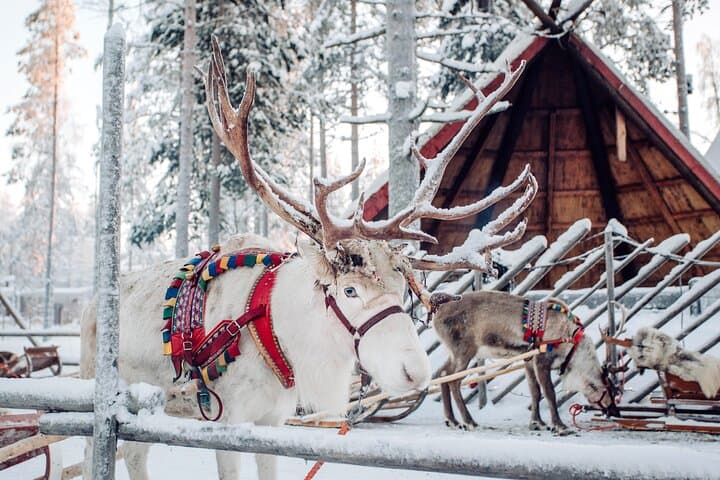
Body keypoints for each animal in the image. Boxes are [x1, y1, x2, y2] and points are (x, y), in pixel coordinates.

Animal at [81, 36, 537, 480]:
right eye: (349, 290)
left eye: (401, 291)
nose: (415, 372)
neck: (277, 329)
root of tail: (93, 305)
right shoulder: (226, 420)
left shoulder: (273, 419)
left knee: (134, 453)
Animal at [430, 291, 619, 435]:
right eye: (611, 391)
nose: (616, 412)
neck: (572, 346)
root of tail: (437, 312)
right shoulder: (542, 360)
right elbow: (549, 393)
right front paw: (559, 426)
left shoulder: (528, 360)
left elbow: (535, 391)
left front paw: (537, 423)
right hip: (464, 351)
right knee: (454, 380)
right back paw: (469, 421)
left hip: (454, 353)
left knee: (442, 373)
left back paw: (452, 420)